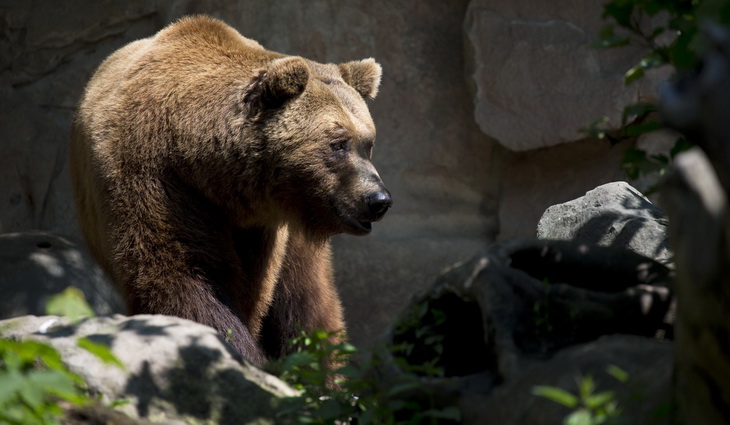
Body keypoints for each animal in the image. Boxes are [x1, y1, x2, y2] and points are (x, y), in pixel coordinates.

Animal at [68, 14, 390, 362]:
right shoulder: (156, 179)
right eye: (338, 144)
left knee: (307, 300)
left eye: (368, 143)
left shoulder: (263, 229)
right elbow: (185, 275)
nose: (378, 200)